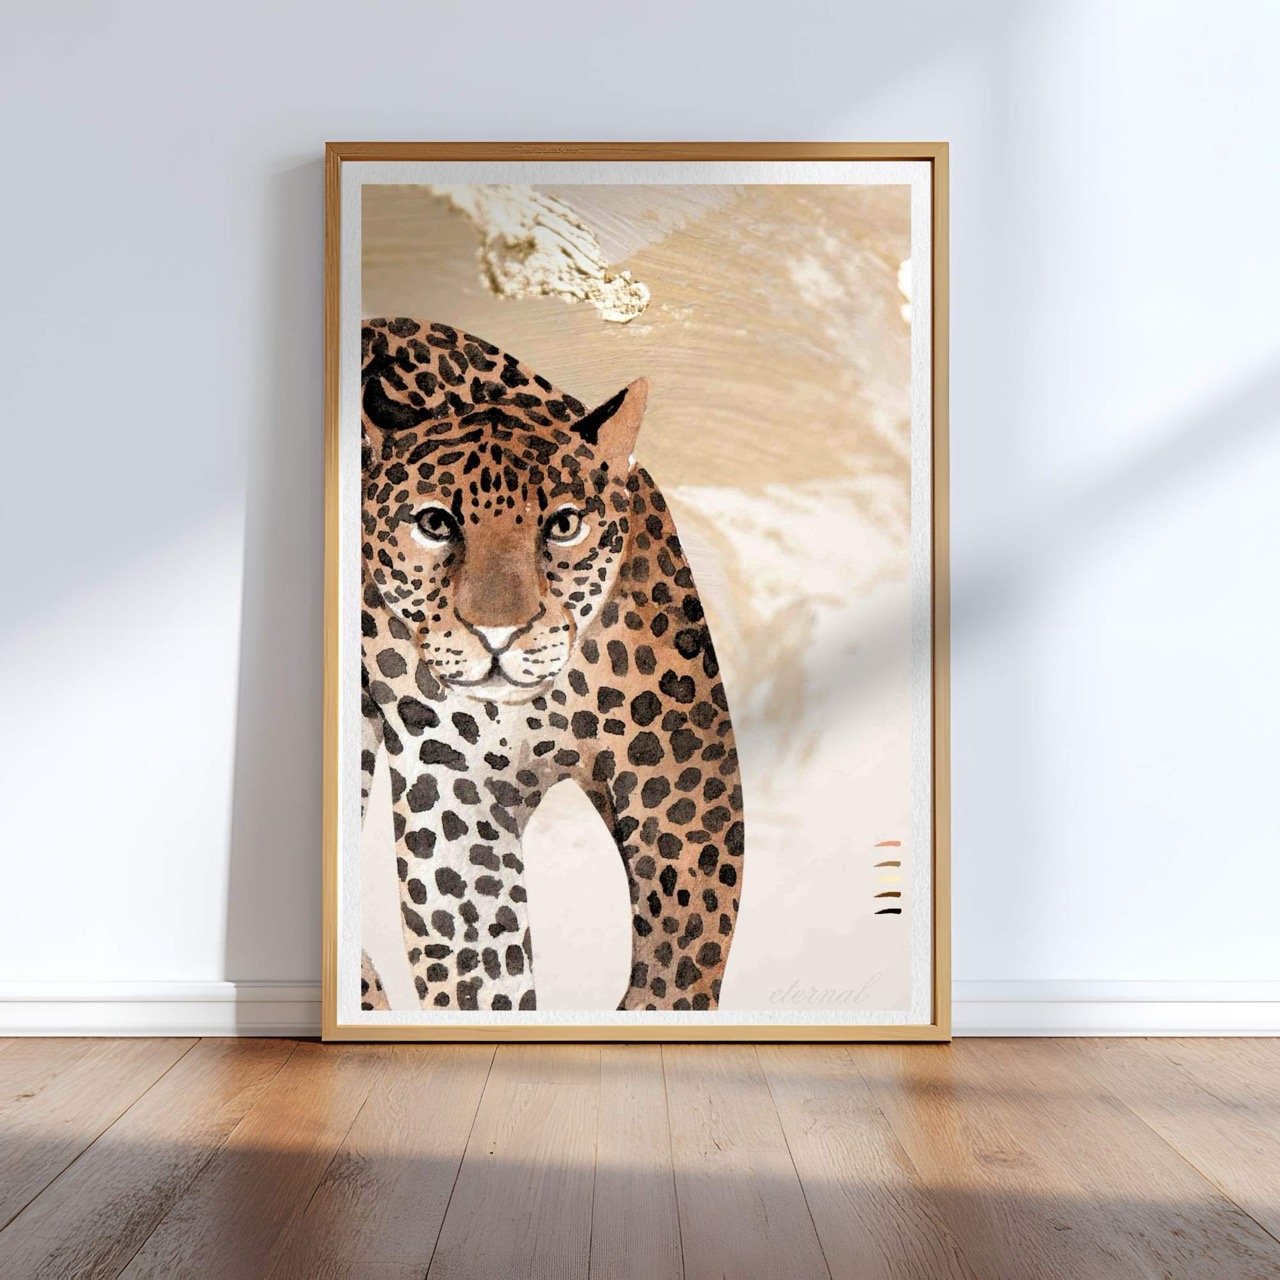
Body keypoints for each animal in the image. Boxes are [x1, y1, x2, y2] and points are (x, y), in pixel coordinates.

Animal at [358, 318, 744, 1013]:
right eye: (435, 523)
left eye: (563, 525)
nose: (498, 633)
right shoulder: (457, 796)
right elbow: (480, 967)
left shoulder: (685, 771)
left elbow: (684, 948)